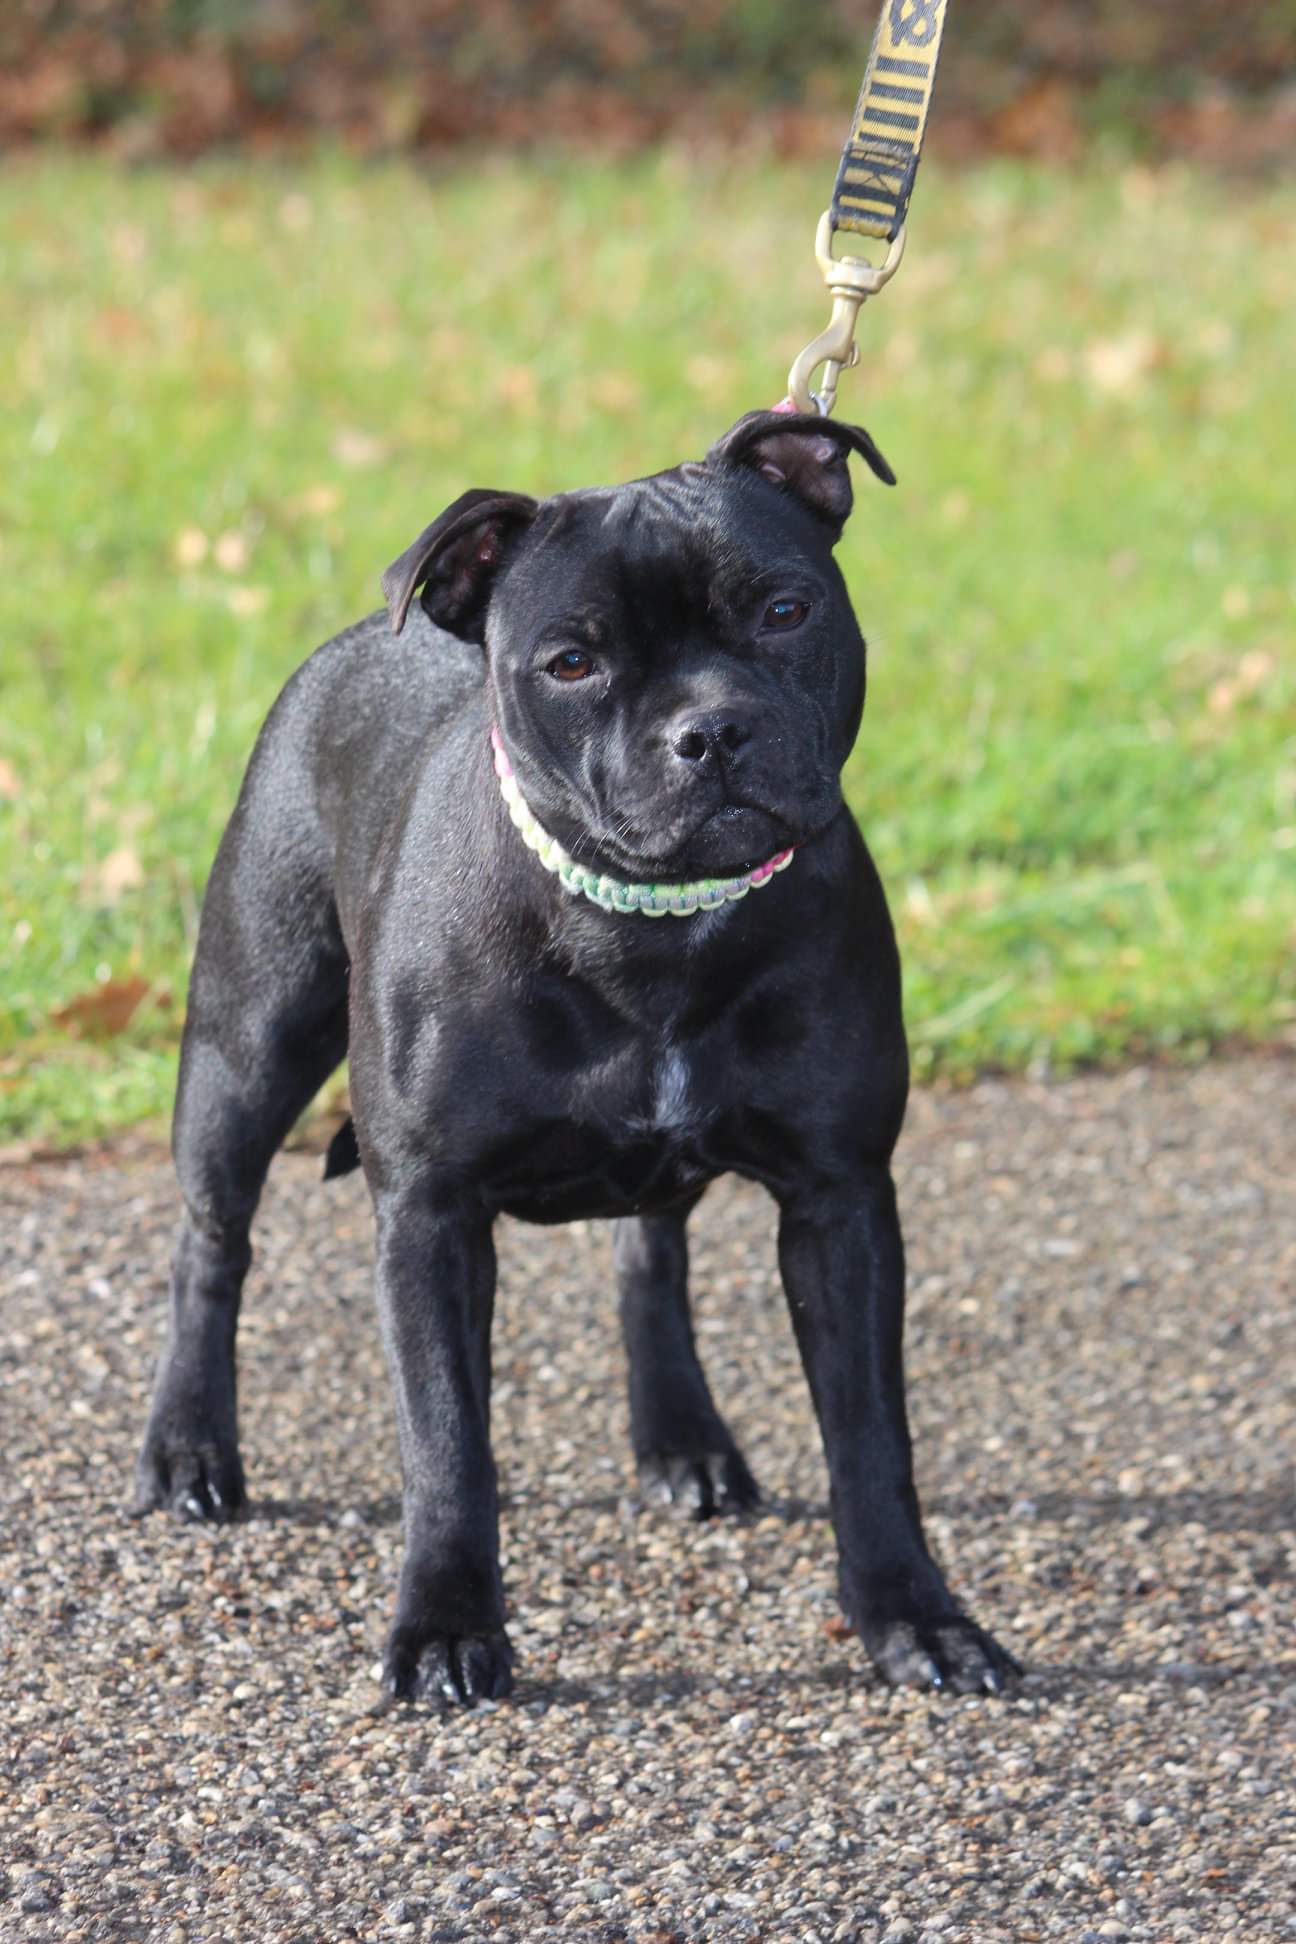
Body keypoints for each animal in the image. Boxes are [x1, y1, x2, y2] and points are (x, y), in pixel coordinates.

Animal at [134, 410, 1025, 1702]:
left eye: (784, 610)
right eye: (570, 664)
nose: (711, 730)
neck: (652, 924)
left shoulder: (840, 1200)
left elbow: (869, 1437)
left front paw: (916, 1617)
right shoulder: (431, 1215)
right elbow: (447, 1443)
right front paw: (446, 1628)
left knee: (648, 1254)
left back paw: (683, 1439)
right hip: (248, 1046)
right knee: (213, 1240)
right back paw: (188, 1448)